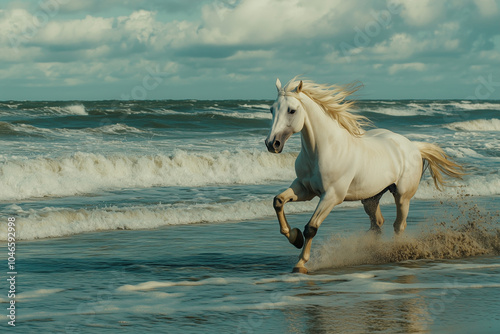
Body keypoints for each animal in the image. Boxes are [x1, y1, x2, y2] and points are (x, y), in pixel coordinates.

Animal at [266, 78, 464, 274]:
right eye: (272, 109)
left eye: (292, 110)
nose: (272, 144)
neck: (325, 150)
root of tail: (413, 146)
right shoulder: (304, 189)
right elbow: (278, 201)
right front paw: (295, 237)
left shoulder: (332, 196)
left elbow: (311, 227)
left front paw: (301, 263)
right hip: (370, 197)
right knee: (377, 224)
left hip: (402, 196)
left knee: (398, 225)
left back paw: (397, 253)